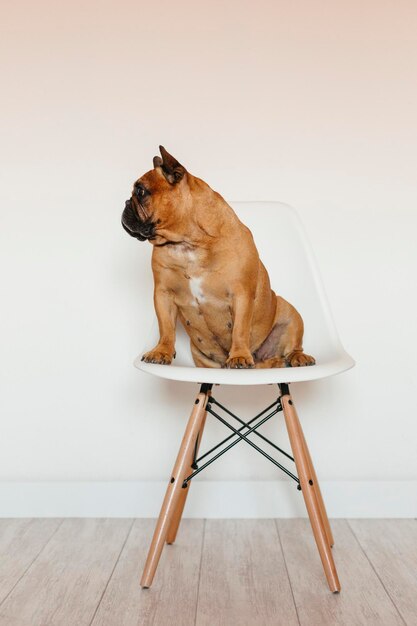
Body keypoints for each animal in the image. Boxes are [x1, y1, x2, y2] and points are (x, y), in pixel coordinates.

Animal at [122, 146, 314, 368]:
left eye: (140, 191)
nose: (126, 203)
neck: (188, 243)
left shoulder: (241, 294)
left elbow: (240, 328)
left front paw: (239, 355)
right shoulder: (163, 294)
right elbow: (166, 327)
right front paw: (161, 351)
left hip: (290, 313)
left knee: (293, 346)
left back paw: (298, 357)